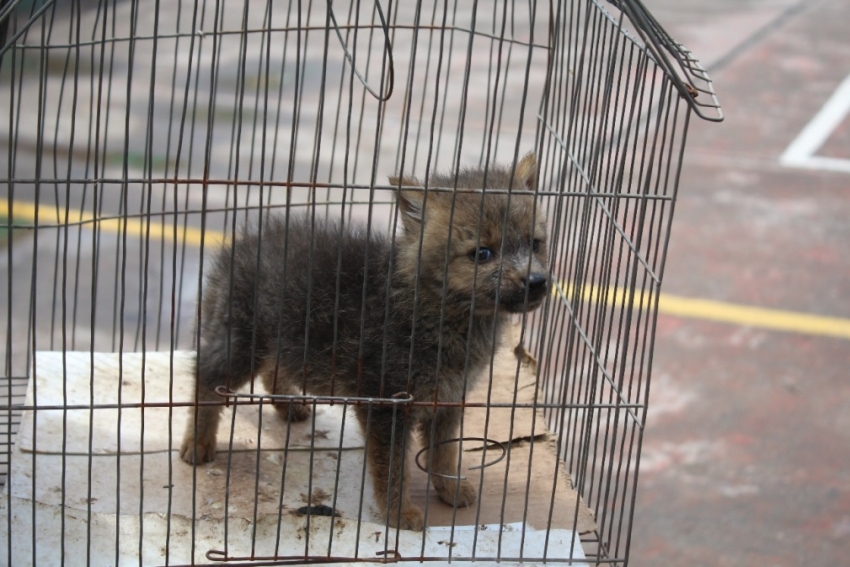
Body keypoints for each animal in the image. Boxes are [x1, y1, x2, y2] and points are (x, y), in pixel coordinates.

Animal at [180, 152, 550, 531]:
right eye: (482, 254)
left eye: (535, 243)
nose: (536, 282)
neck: (434, 306)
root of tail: (239, 246)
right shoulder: (386, 403)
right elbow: (393, 470)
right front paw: (399, 513)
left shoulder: (447, 399)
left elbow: (444, 452)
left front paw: (449, 487)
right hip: (239, 344)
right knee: (204, 381)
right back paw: (198, 442)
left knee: (273, 369)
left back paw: (289, 405)